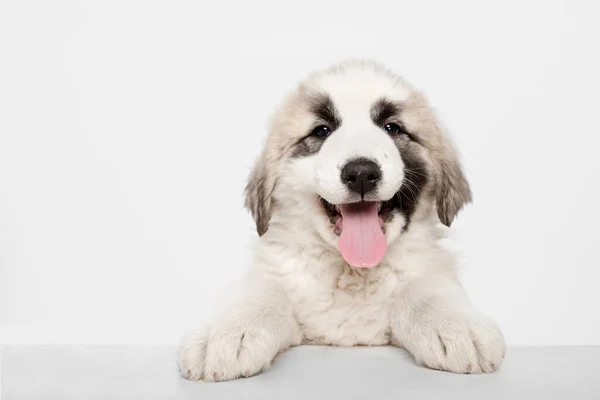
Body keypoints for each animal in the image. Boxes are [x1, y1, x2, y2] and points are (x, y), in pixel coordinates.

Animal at [178, 59, 506, 382]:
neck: (353, 271)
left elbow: (424, 289)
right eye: (322, 131)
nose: (361, 173)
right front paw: (229, 332)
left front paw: (454, 324)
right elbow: (262, 291)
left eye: (392, 127)